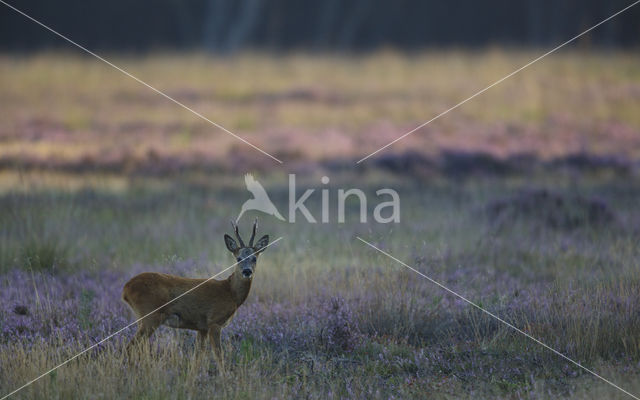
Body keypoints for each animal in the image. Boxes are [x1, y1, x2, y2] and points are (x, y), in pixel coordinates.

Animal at [121, 219, 268, 368]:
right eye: (238, 258)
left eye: (254, 258)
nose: (247, 271)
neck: (230, 292)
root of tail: (126, 289)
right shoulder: (214, 321)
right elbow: (219, 356)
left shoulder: (201, 327)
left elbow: (197, 357)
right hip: (150, 315)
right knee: (129, 347)